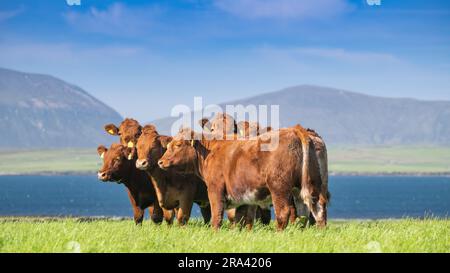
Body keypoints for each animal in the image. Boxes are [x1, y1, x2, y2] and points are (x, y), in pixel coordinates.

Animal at [158, 125, 326, 230]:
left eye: (178, 145)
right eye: (169, 146)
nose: (160, 161)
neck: (210, 151)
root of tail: (295, 130)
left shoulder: (215, 188)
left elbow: (217, 214)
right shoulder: (243, 195)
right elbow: (241, 218)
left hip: (279, 187)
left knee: (285, 212)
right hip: (309, 184)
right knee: (314, 207)